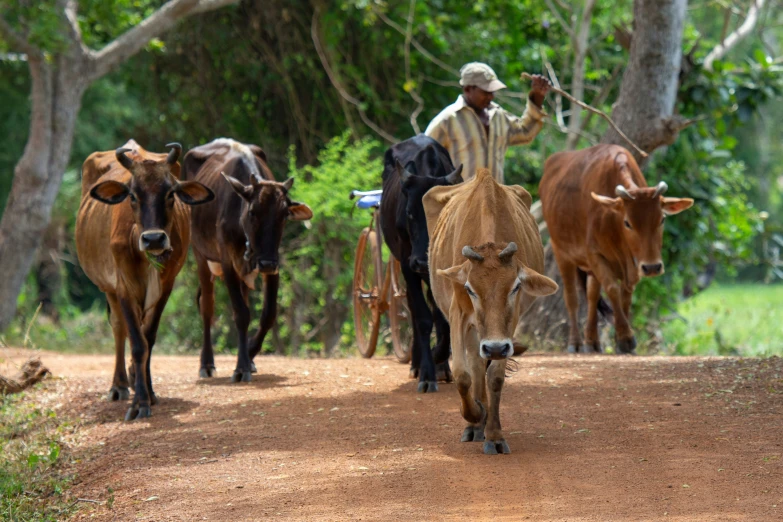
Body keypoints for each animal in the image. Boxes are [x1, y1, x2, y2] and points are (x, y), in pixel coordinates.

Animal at [75, 139, 214, 418]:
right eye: (132, 195)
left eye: (170, 194)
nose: (153, 239)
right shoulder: (123, 285)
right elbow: (138, 343)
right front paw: (139, 402)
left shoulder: (166, 286)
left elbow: (148, 339)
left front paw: (148, 394)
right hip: (108, 287)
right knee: (119, 328)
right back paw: (119, 385)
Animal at [182, 138, 314, 382]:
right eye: (253, 212)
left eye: (284, 215)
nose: (265, 263)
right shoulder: (228, 263)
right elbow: (241, 314)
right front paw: (241, 366)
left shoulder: (273, 265)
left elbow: (268, 314)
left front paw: (249, 356)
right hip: (201, 256)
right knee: (207, 309)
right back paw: (206, 364)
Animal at [378, 134, 462, 390]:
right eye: (409, 213)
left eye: (440, 214)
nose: (422, 261)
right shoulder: (407, 265)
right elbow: (423, 318)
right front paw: (426, 372)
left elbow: (443, 317)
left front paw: (439, 360)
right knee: (415, 312)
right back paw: (417, 364)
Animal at [426, 167, 560, 450]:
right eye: (469, 289)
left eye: (516, 287)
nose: (495, 347)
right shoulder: (458, 313)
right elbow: (462, 374)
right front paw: (475, 414)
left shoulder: (509, 324)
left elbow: (495, 376)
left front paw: (495, 434)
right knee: (475, 364)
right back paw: (476, 425)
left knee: (482, 366)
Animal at [540, 142, 700, 354]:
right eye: (627, 223)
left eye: (662, 219)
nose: (652, 267)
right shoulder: (595, 255)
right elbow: (613, 289)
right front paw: (626, 338)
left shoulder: (632, 265)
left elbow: (625, 294)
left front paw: (620, 338)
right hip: (561, 253)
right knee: (572, 298)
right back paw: (575, 342)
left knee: (592, 295)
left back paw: (592, 341)